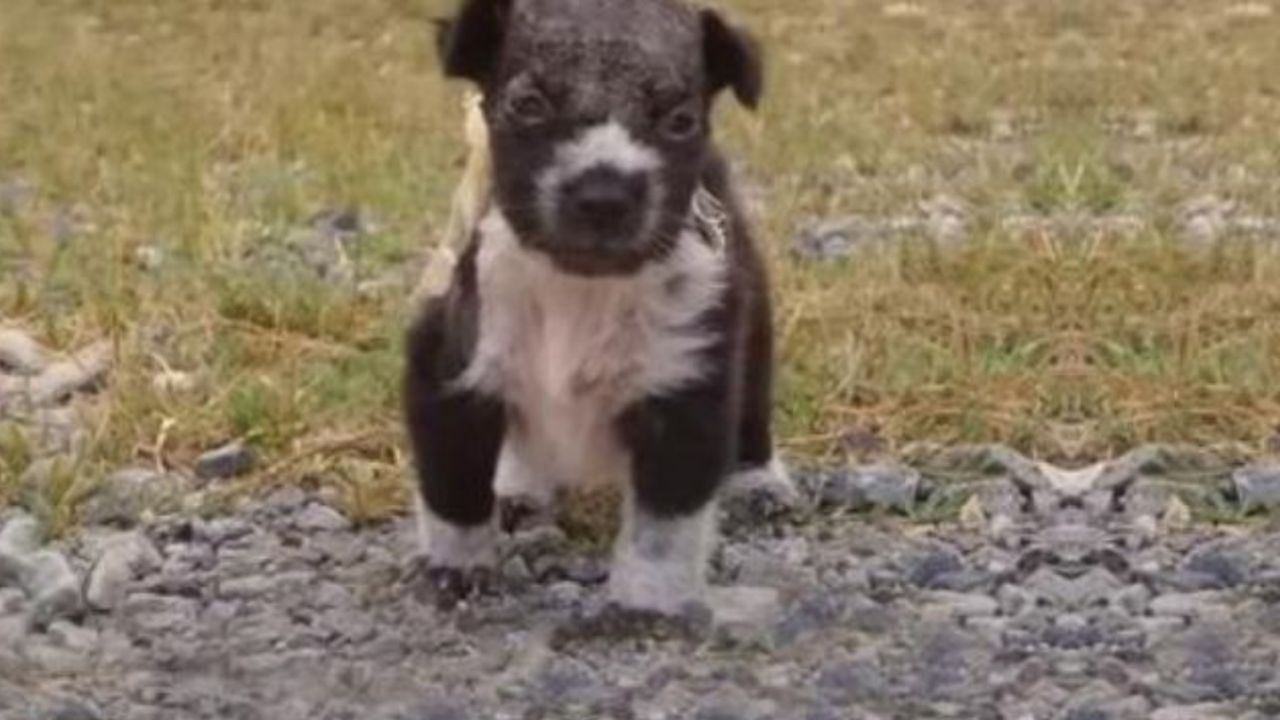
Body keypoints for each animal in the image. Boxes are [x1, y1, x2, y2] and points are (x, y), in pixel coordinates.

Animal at [404, 0, 783, 614]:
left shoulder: (687, 390)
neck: (579, 287)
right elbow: (453, 486)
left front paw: (647, 605)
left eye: (680, 121)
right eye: (528, 105)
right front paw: (455, 570)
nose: (605, 195)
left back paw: (760, 481)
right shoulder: (446, 366)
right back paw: (518, 488)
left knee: (752, 412)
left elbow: (664, 524)